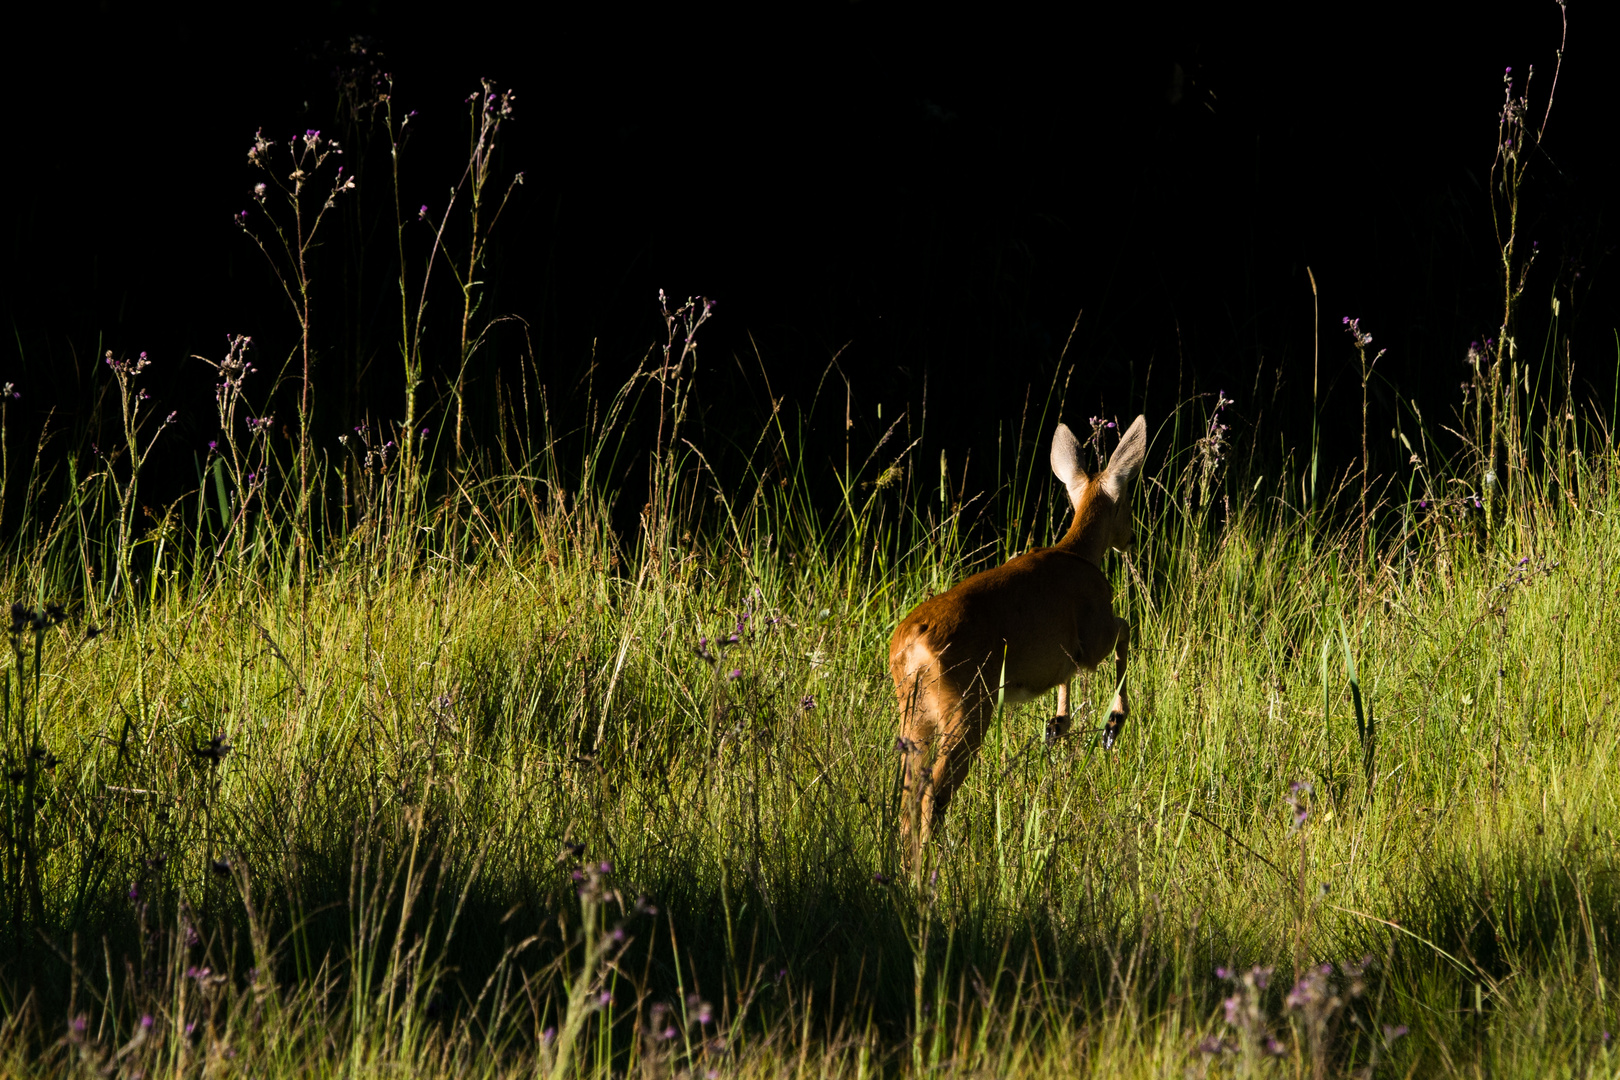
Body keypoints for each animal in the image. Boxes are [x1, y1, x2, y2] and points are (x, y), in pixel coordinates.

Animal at [887, 414, 1153, 861]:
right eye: (1129, 502)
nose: (1133, 538)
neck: (1078, 552)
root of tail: (910, 646)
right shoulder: (1092, 634)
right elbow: (1125, 627)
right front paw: (1112, 724)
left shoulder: (1063, 654)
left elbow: (1064, 679)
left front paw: (1057, 724)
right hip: (967, 705)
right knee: (932, 793)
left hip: (915, 714)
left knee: (909, 795)